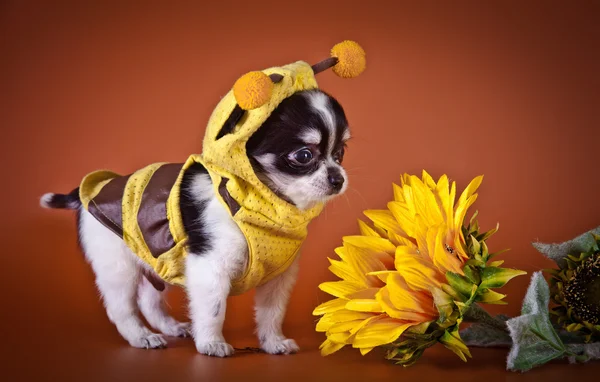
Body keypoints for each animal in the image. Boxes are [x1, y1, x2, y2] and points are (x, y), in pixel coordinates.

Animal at [39, 88, 350, 356]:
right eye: (304, 155)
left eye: (340, 154)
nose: (338, 179)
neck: (264, 205)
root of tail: (89, 191)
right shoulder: (209, 265)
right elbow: (213, 308)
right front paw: (211, 343)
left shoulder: (277, 274)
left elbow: (271, 312)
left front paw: (273, 342)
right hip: (118, 265)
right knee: (121, 307)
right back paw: (141, 336)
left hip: (156, 261)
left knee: (149, 300)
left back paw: (170, 327)